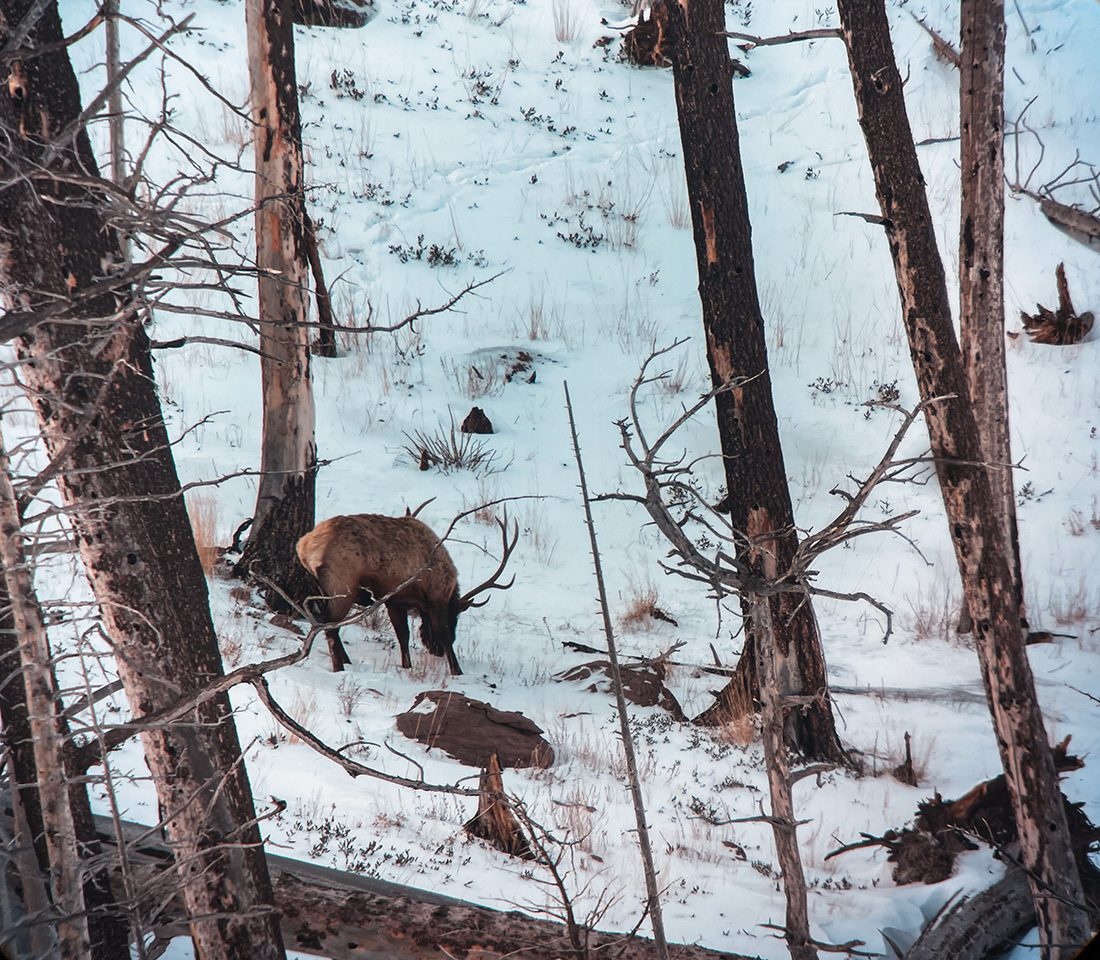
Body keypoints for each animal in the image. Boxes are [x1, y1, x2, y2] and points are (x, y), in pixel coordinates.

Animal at [295, 507, 517, 675]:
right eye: (454, 618)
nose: (435, 651)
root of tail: (303, 546)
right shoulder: (436, 596)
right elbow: (442, 632)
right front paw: (457, 670)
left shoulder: (394, 600)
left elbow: (403, 635)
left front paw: (407, 666)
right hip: (342, 585)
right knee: (330, 626)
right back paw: (339, 667)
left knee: (326, 623)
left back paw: (346, 661)